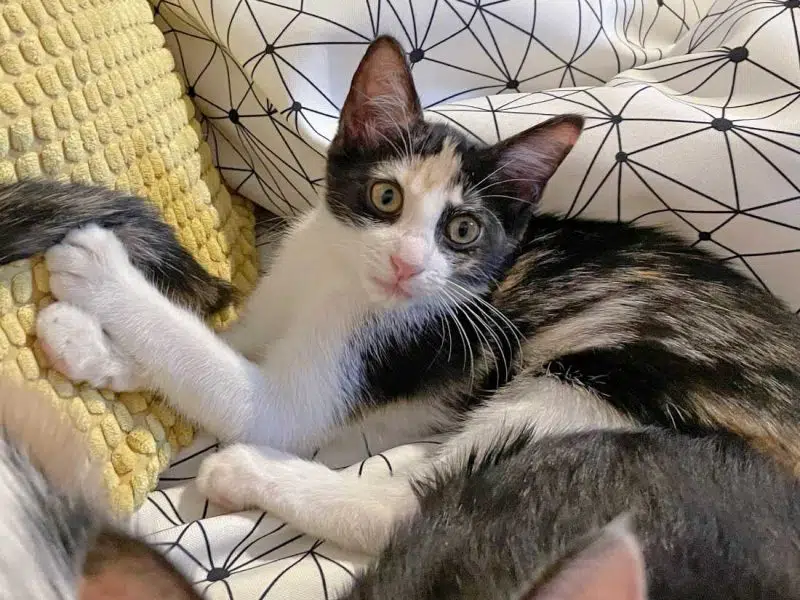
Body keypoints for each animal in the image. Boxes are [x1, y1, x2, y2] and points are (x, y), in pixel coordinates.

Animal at [31, 33, 800, 566]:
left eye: (462, 231)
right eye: (385, 197)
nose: (407, 265)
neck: (336, 274)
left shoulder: (396, 344)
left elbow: (234, 384)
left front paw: (96, 268)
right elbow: (221, 340)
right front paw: (86, 343)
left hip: (610, 372)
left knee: (406, 505)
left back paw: (248, 471)